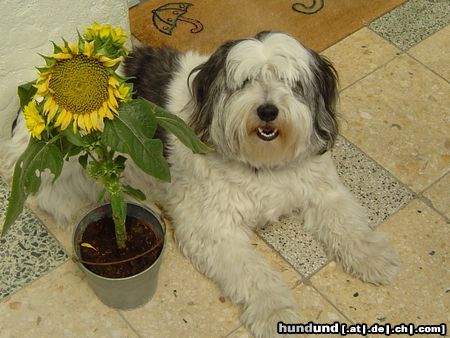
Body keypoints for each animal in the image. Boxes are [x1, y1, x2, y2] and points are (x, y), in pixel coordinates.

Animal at [0, 31, 400, 338]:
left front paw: (374, 256)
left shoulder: (322, 188)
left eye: (291, 84)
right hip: (68, 165)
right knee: (58, 198)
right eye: (244, 83)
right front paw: (275, 312)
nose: (268, 110)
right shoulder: (211, 228)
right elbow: (253, 274)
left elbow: (347, 223)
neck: (261, 163)